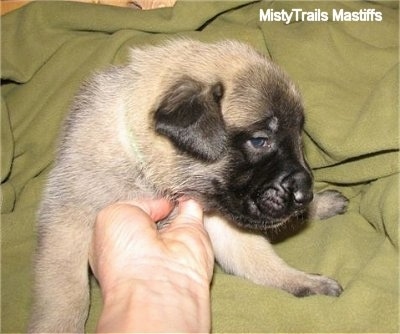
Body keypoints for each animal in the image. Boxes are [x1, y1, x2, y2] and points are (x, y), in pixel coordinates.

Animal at [28, 38, 346, 332]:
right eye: (259, 140)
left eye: (298, 137)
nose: (306, 194)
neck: (146, 168)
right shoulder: (68, 222)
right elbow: (67, 289)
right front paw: (58, 326)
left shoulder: (220, 221)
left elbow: (260, 260)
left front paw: (304, 280)